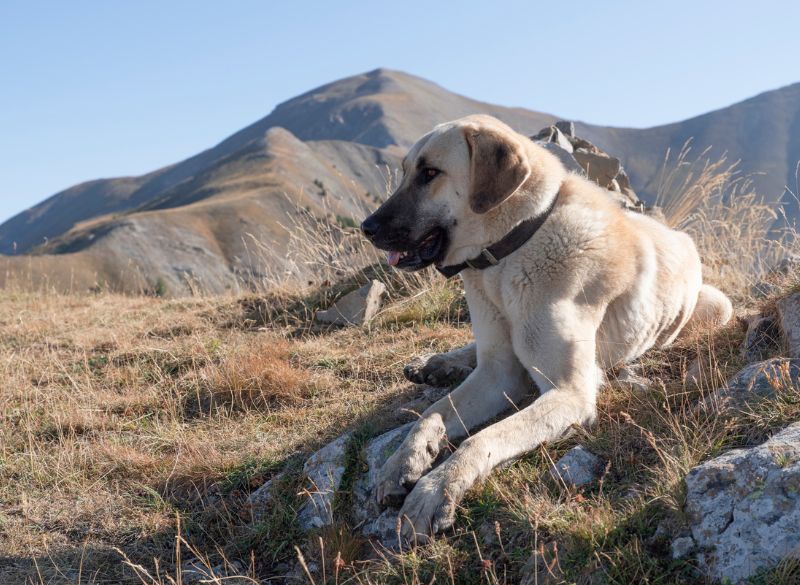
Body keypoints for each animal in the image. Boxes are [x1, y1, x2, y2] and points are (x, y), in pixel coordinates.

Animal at [360, 115, 736, 544]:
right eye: (406, 171)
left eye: (430, 173)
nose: (366, 227)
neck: (512, 251)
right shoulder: (497, 374)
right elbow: (431, 415)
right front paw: (401, 463)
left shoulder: (568, 393)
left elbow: (482, 438)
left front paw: (435, 490)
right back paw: (437, 363)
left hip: (716, 307)